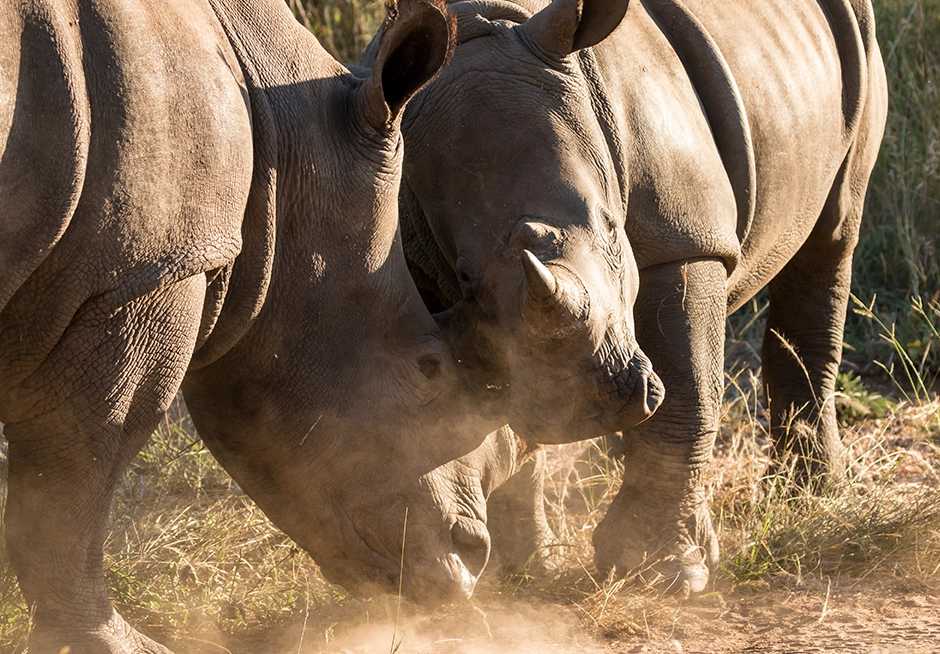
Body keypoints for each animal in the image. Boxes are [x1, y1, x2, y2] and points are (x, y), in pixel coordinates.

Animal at [0, 0, 533, 650]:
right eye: (428, 367)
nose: (473, 557)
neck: (282, 142)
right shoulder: (142, 275)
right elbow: (71, 487)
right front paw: (113, 644)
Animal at [381, 0, 888, 589]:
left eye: (610, 226)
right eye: (466, 279)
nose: (590, 409)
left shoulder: (684, 240)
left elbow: (690, 388)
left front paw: (660, 574)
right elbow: (487, 417)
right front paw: (526, 573)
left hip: (860, 46)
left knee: (832, 235)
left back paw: (810, 499)